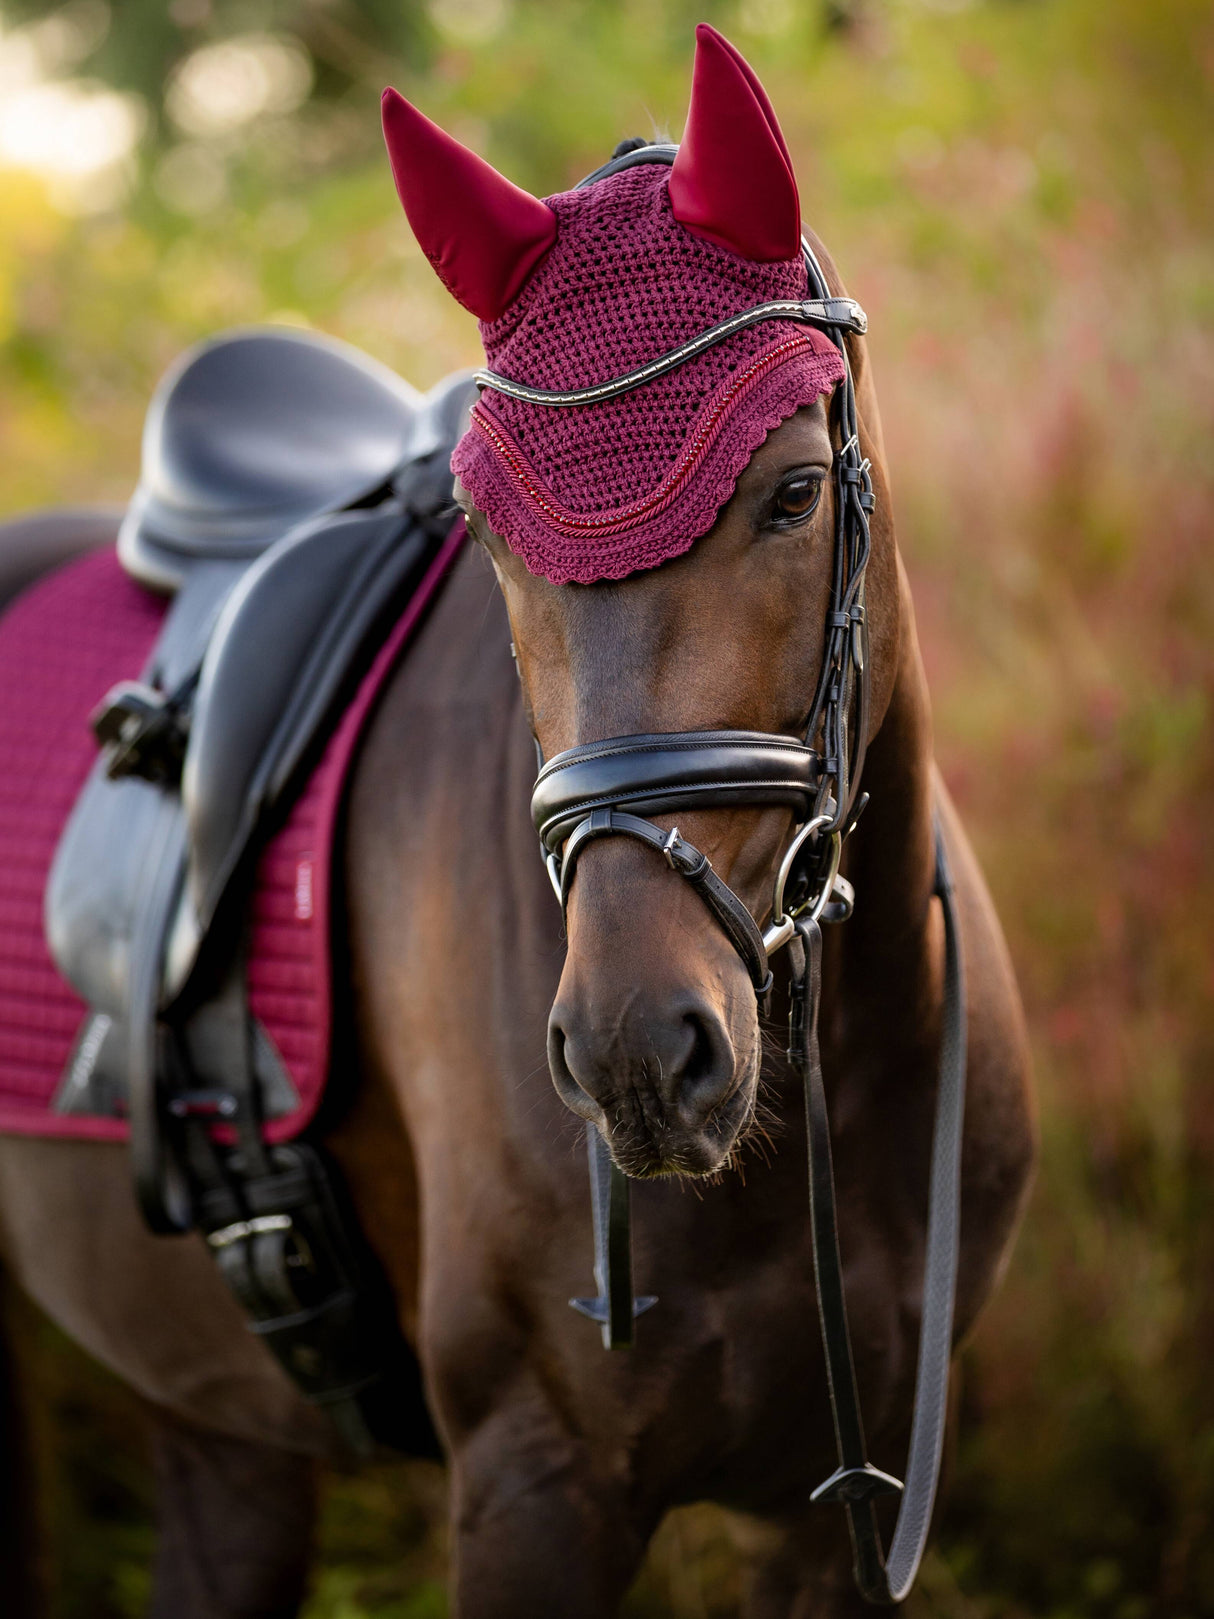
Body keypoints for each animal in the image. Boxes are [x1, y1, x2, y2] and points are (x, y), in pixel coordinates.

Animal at [0, 25, 1035, 1619]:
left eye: (794, 492)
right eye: (489, 536)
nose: (633, 1048)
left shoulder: (827, 1514)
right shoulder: (533, 1488)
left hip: (219, 1424)